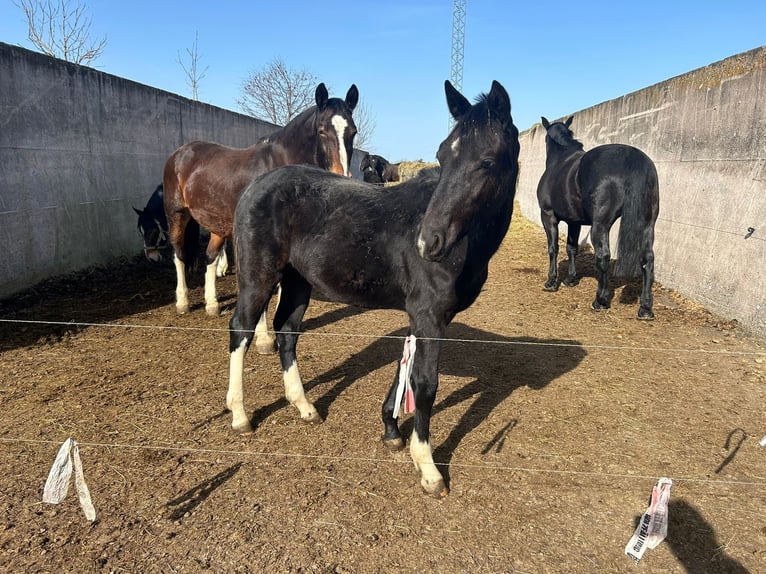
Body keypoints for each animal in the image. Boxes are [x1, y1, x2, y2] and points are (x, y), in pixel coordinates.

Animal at [162, 82, 359, 341]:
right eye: (322, 130)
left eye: (353, 132)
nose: (341, 174)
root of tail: (181, 153)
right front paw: (264, 338)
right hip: (177, 214)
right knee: (179, 254)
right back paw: (183, 302)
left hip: (218, 224)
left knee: (210, 257)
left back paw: (212, 305)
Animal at [227, 80, 520, 497]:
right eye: (442, 155)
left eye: (488, 161)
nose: (427, 242)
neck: (465, 243)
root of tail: (254, 186)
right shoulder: (429, 316)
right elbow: (425, 384)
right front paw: (428, 467)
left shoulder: (424, 316)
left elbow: (406, 371)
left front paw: (391, 430)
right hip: (259, 277)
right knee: (242, 329)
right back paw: (240, 415)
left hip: (298, 283)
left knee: (287, 332)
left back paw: (304, 407)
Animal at [536, 116, 660, 319]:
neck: (560, 161)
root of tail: (632, 157)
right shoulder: (574, 222)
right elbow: (572, 248)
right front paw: (570, 279)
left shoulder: (548, 216)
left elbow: (553, 248)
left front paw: (551, 282)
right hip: (648, 224)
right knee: (647, 259)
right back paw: (645, 308)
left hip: (600, 224)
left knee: (603, 256)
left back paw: (600, 300)